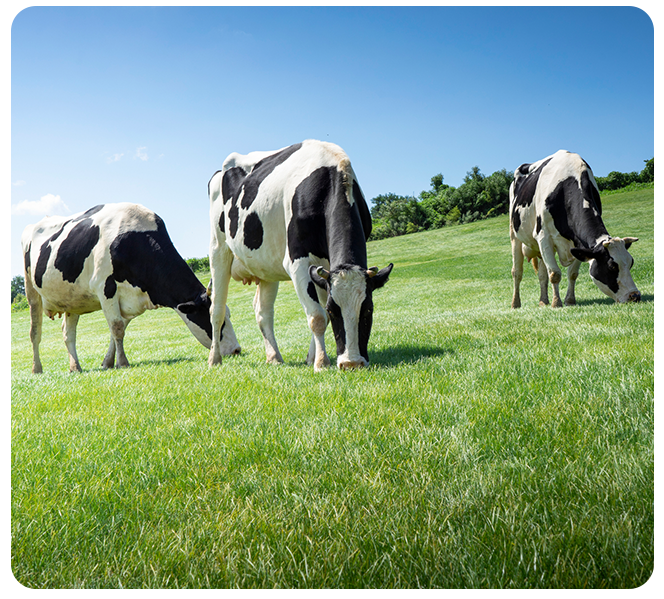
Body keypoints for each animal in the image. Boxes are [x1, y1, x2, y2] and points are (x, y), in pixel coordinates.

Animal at [21, 203, 240, 373]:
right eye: (215, 320)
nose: (237, 350)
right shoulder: (105, 287)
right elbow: (117, 328)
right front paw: (123, 362)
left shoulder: (129, 298)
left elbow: (116, 329)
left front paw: (108, 362)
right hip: (31, 291)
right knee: (34, 332)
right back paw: (37, 368)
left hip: (71, 299)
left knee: (68, 334)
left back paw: (75, 367)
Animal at [207, 139, 393, 372]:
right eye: (334, 310)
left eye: (368, 309)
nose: (351, 363)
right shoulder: (297, 262)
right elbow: (317, 316)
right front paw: (321, 363)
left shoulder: (324, 268)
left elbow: (319, 312)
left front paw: (312, 357)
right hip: (218, 248)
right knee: (217, 309)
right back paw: (214, 359)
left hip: (266, 265)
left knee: (263, 312)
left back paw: (274, 357)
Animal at [509, 149, 640, 309]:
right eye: (612, 267)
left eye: (631, 262)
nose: (635, 296)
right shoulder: (543, 236)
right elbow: (555, 274)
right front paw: (556, 303)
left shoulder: (579, 244)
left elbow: (572, 274)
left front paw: (570, 300)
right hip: (514, 234)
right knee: (517, 272)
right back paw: (516, 303)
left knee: (542, 274)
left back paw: (543, 301)